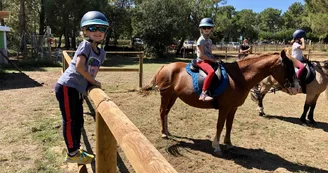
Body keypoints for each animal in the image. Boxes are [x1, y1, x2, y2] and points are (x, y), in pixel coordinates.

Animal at [144, 49, 300, 155]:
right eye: (289, 68)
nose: (297, 88)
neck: (238, 77)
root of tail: (165, 67)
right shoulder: (224, 108)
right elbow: (219, 125)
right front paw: (217, 146)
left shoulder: (233, 108)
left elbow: (229, 125)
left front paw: (229, 143)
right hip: (165, 95)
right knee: (162, 111)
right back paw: (163, 133)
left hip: (173, 96)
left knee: (166, 112)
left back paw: (167, 131)